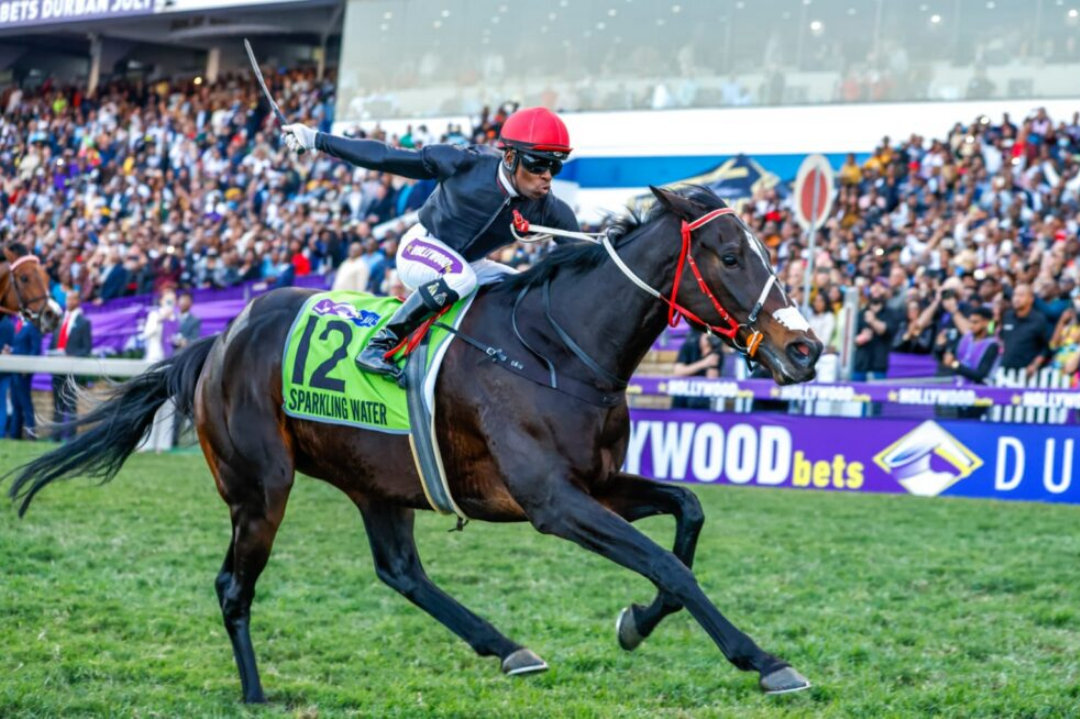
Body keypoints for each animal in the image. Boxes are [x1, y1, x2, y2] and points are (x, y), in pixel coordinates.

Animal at [8, 186, 823, 703]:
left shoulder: (593, 484)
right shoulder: (553, 502)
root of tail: (219, 339)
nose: (806, 348)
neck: (559, 346)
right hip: (260, 488)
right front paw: (765, 659)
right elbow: (668, 562)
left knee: (400, 570)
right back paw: (256, 691)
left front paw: (636, 622)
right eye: (727, 254)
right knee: (234, 586)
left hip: (377, 480)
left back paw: (508, 646)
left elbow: (687, 513)